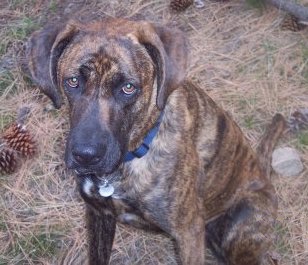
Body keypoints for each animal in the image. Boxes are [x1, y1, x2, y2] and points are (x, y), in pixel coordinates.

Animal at [27, 17, 286, 262]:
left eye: (128, 87)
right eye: (72, 81)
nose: (86, 156)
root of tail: (263, 173)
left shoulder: (189, 234)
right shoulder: (98, 215)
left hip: (239, 232)